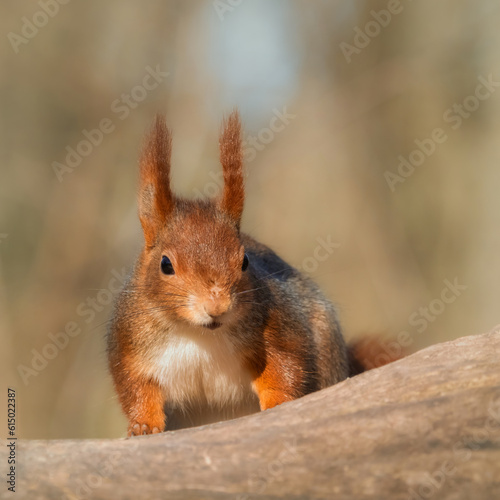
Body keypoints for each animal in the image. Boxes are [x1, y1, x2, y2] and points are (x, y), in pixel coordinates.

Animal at [107, 110, 396, 438]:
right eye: (165, 265)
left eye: (245, 260)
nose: (217, 307)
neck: (199, 333)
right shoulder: (130, 342)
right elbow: (135, 386)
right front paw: (143, 425)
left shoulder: (279, 324)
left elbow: (286, 364)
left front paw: (279, 402)